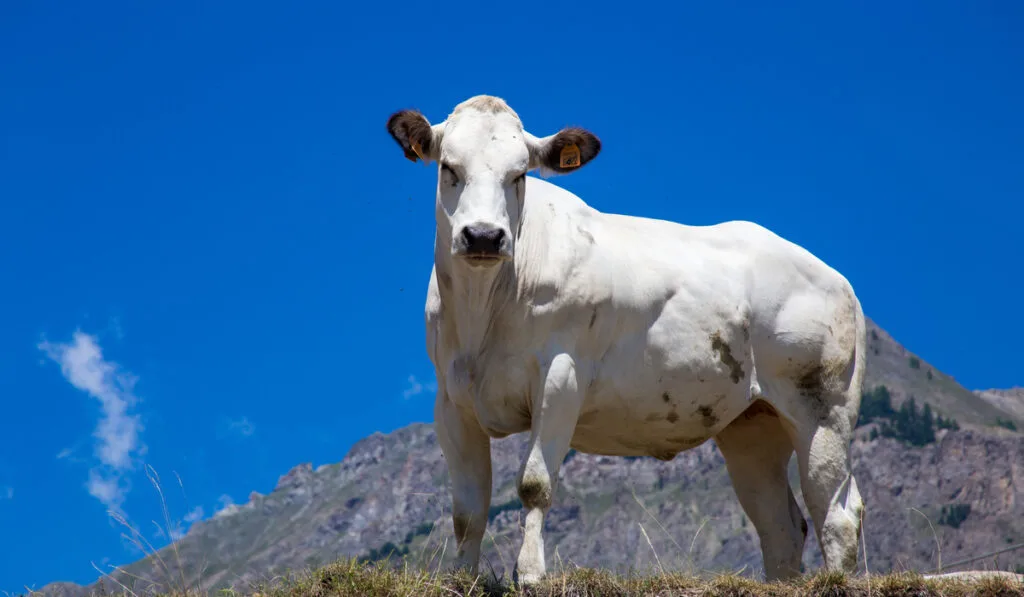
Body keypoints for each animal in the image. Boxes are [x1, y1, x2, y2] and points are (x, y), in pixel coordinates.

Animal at [385, 94, 864, 585]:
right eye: (448, 167)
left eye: (518, 175)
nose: (483, 236)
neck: (484, 313)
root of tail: (834, 276)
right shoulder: (451, 398)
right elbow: (467, 509)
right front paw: (461, 579)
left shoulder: (561, 377)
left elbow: (534, 484)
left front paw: (531, 574)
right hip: (751, 423)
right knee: (780, 523)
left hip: (823, 405)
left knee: (836, 512)